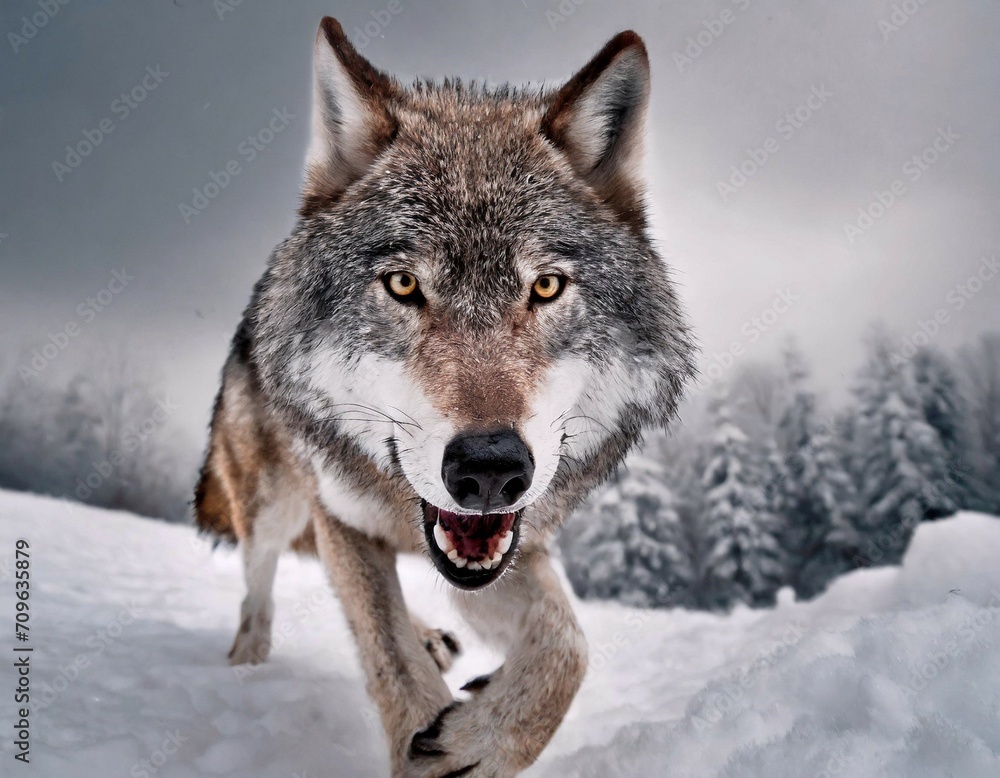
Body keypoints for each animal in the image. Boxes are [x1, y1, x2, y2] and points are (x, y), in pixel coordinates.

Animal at [194, 17, 695, 777]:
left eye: (545, 286)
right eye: (404, 285)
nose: (489, 468)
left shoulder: (513, 545)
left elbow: (567, 647)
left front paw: (483, 738)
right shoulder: (340, 517)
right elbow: (389, 659)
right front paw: (425, 745)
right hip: (272, 502)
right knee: (258, 591)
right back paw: (248, 666)